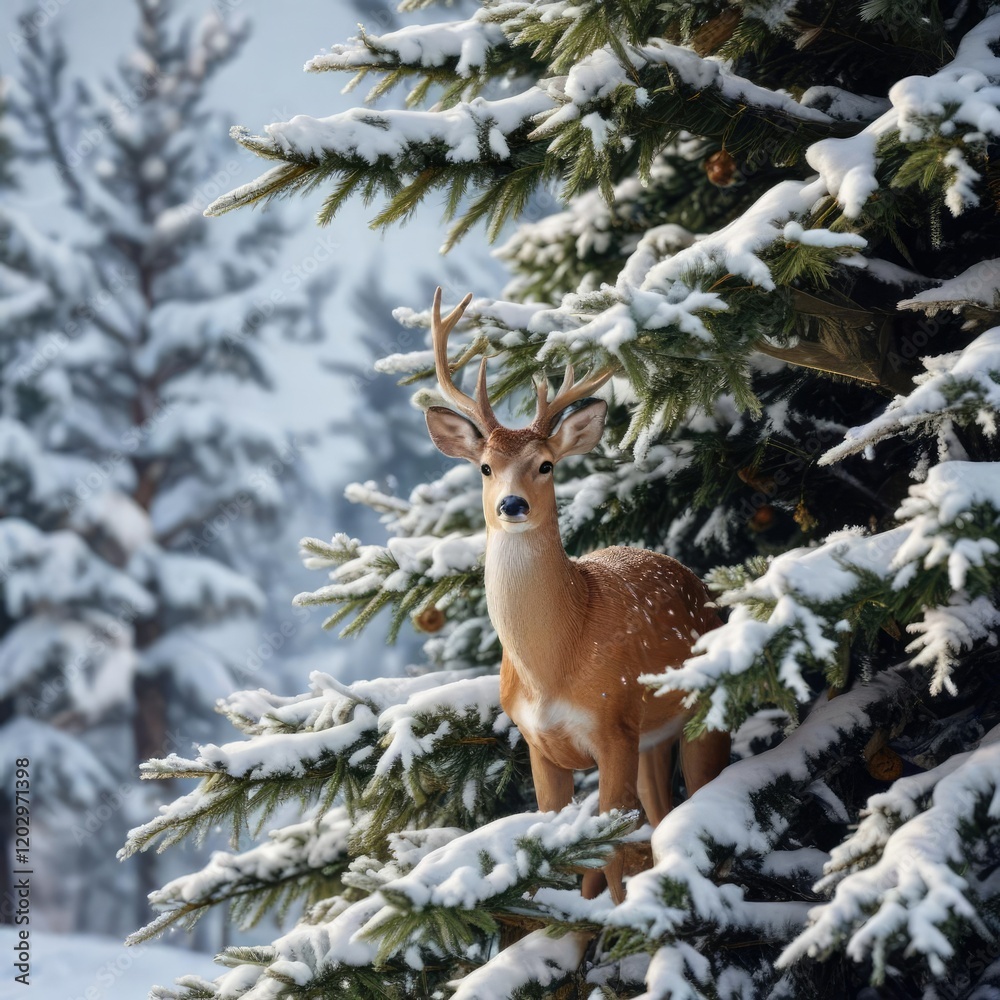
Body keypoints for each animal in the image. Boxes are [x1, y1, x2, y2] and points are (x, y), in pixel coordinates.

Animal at [423, 288, 731, 903]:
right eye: (485, 467)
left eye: (545, 464)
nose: (511, 505)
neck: (551, 667)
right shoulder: (538, 744)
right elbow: (565, 850)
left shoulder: (613, 726)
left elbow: (609, 849)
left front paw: (614, 916)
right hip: (652, 740)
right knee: (659, 814)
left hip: (699, 717)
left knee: (691, 802)